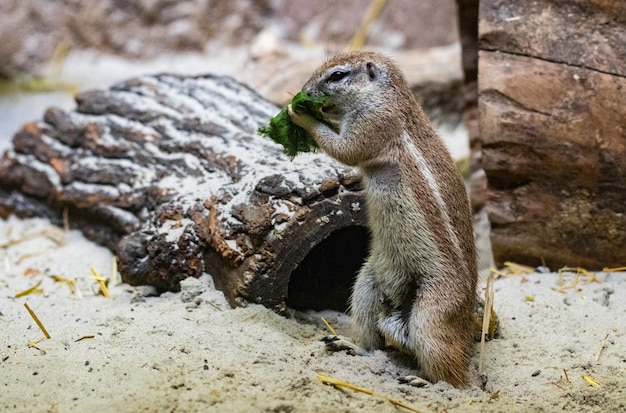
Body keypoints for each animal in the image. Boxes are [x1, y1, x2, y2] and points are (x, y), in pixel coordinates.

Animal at [288, 51, 478, 386]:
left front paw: (299, 113)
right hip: (365, 286)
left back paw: (423, 380)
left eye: (337, 75)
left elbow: (344, 149)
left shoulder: (373, 125)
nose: (305, 91)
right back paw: (348, 345)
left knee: (455, 379)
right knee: (373, 345)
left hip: (431, 315)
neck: (388, 97)